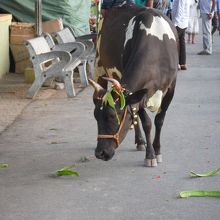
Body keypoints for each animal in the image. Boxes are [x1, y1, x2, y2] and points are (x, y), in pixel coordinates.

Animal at [88, 4, 179, 167]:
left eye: (113, 116)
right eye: (95, 116)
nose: (100, 153)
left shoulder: (171, 89)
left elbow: (159, 120)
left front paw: (157, 151)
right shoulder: (140, 94)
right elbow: (146, 123)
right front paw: (150, 155)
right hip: (99, 65)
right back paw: (140, 141)